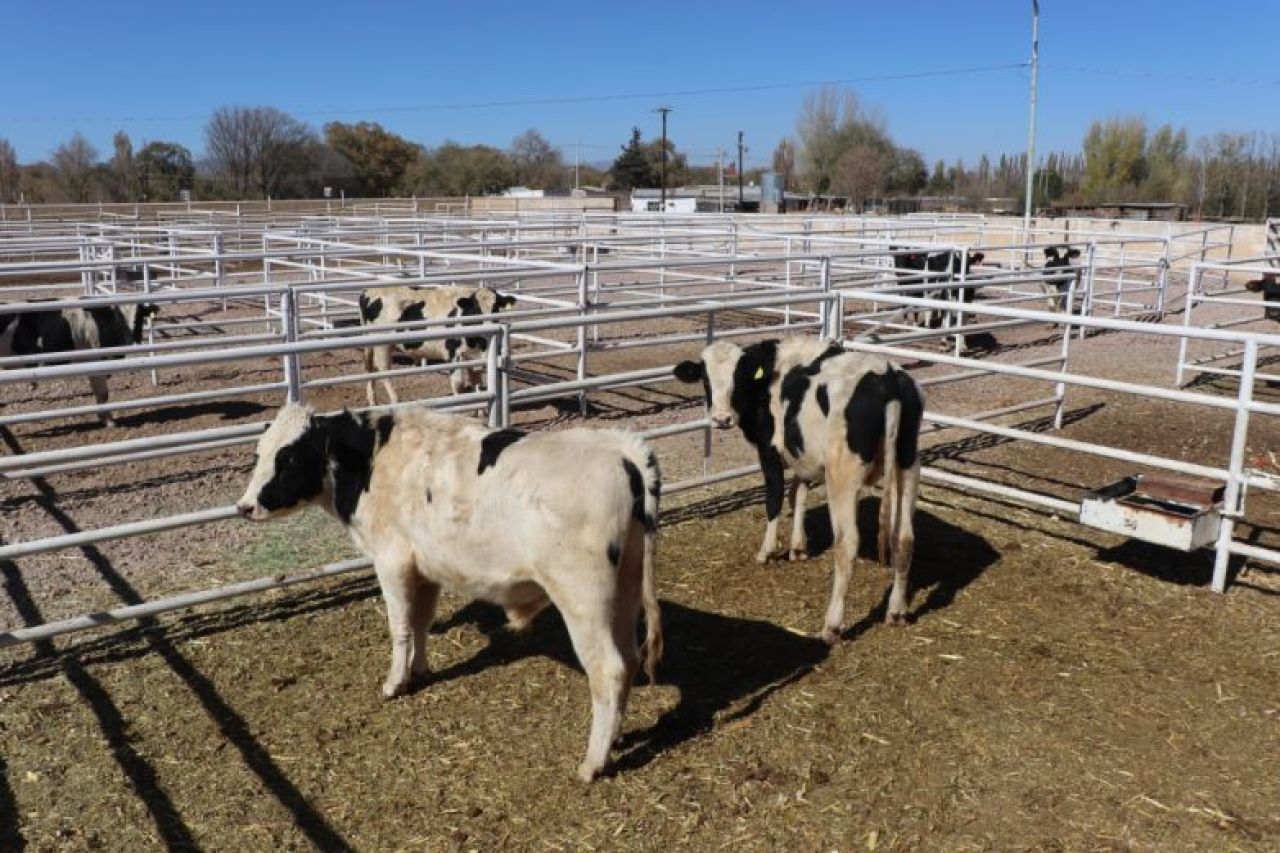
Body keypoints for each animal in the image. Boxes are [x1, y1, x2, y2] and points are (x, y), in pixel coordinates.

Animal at [0, 298, 160, 425]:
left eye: (139, 317)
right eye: (117, 319)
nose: (132, 341)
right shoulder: (96, 363)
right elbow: (103, 394)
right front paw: (109, 421)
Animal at [234, 402, 665, 778]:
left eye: (289, 458)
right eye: (259, 452)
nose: (244, 506)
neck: (374, 459)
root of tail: (619, 449)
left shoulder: (391, 560)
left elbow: (400, 627)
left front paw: (394, 683)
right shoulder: (424, 567)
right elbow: (421, 623)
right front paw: (419, 671)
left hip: (584, 598)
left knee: (608, 669)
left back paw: (593, 763)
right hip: (625, 589)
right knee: (628, 661)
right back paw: (615, 738)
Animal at [355, 284, 514, 404]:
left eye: (495, 308)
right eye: (476, 309)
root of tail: (368, 291)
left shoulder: (475, 358)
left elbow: (478, 385)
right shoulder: (453, 355)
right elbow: (459, 385)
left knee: (369, 368)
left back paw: (373, 401)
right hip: (382, 345)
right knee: (384, 372)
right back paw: (395, 400)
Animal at [675, 335, 926, 640]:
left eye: (739, 376)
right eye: (706, 379)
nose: (721, 419)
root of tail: (886, 376)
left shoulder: (770, 450)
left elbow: (774, 500)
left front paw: (767, 552)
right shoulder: (802, 454)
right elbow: (799, 496)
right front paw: (797, 548)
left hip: (842, 476)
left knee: (847, 544)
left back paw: (832, 625)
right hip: (908, 466)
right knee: (905, 539)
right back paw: (896, 612)